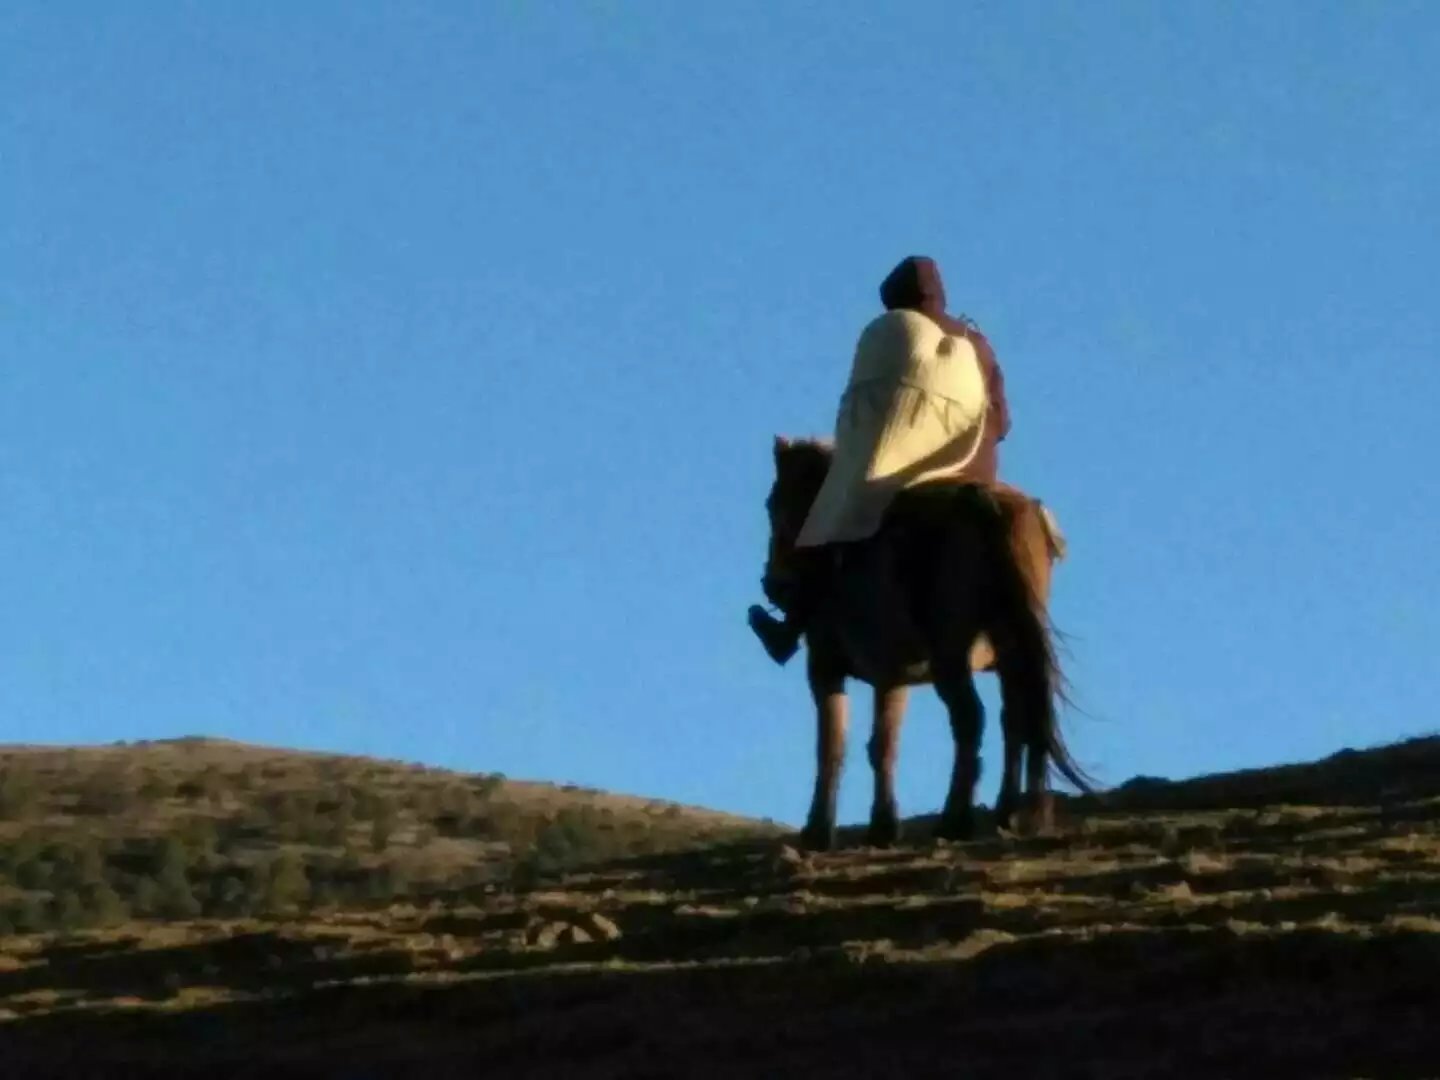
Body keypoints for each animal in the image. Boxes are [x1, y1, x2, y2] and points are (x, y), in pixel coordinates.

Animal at [760, 434, 1082, 852]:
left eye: (773, 503)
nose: (773, 584)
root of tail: (987, 504)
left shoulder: (831, 668)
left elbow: (835, 745)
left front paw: (822, 831)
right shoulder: (894, 677)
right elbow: (883, 745)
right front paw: (882, 826)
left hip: (952, 658)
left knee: (970, 719)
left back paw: (956, 820)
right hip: (1011, 650)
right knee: (1017, 717)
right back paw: (1013, 812)